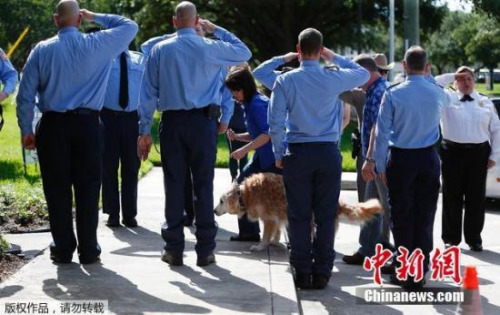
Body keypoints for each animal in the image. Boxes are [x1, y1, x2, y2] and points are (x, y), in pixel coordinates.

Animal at [214, 173, 382, 252]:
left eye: (221, 201)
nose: (214, 211)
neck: (244, 194)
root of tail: (338, 202)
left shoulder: (269, 218)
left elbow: (266, 235)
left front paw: (261, 246)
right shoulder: (277, 217)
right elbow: (277, 231)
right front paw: (275, 242)